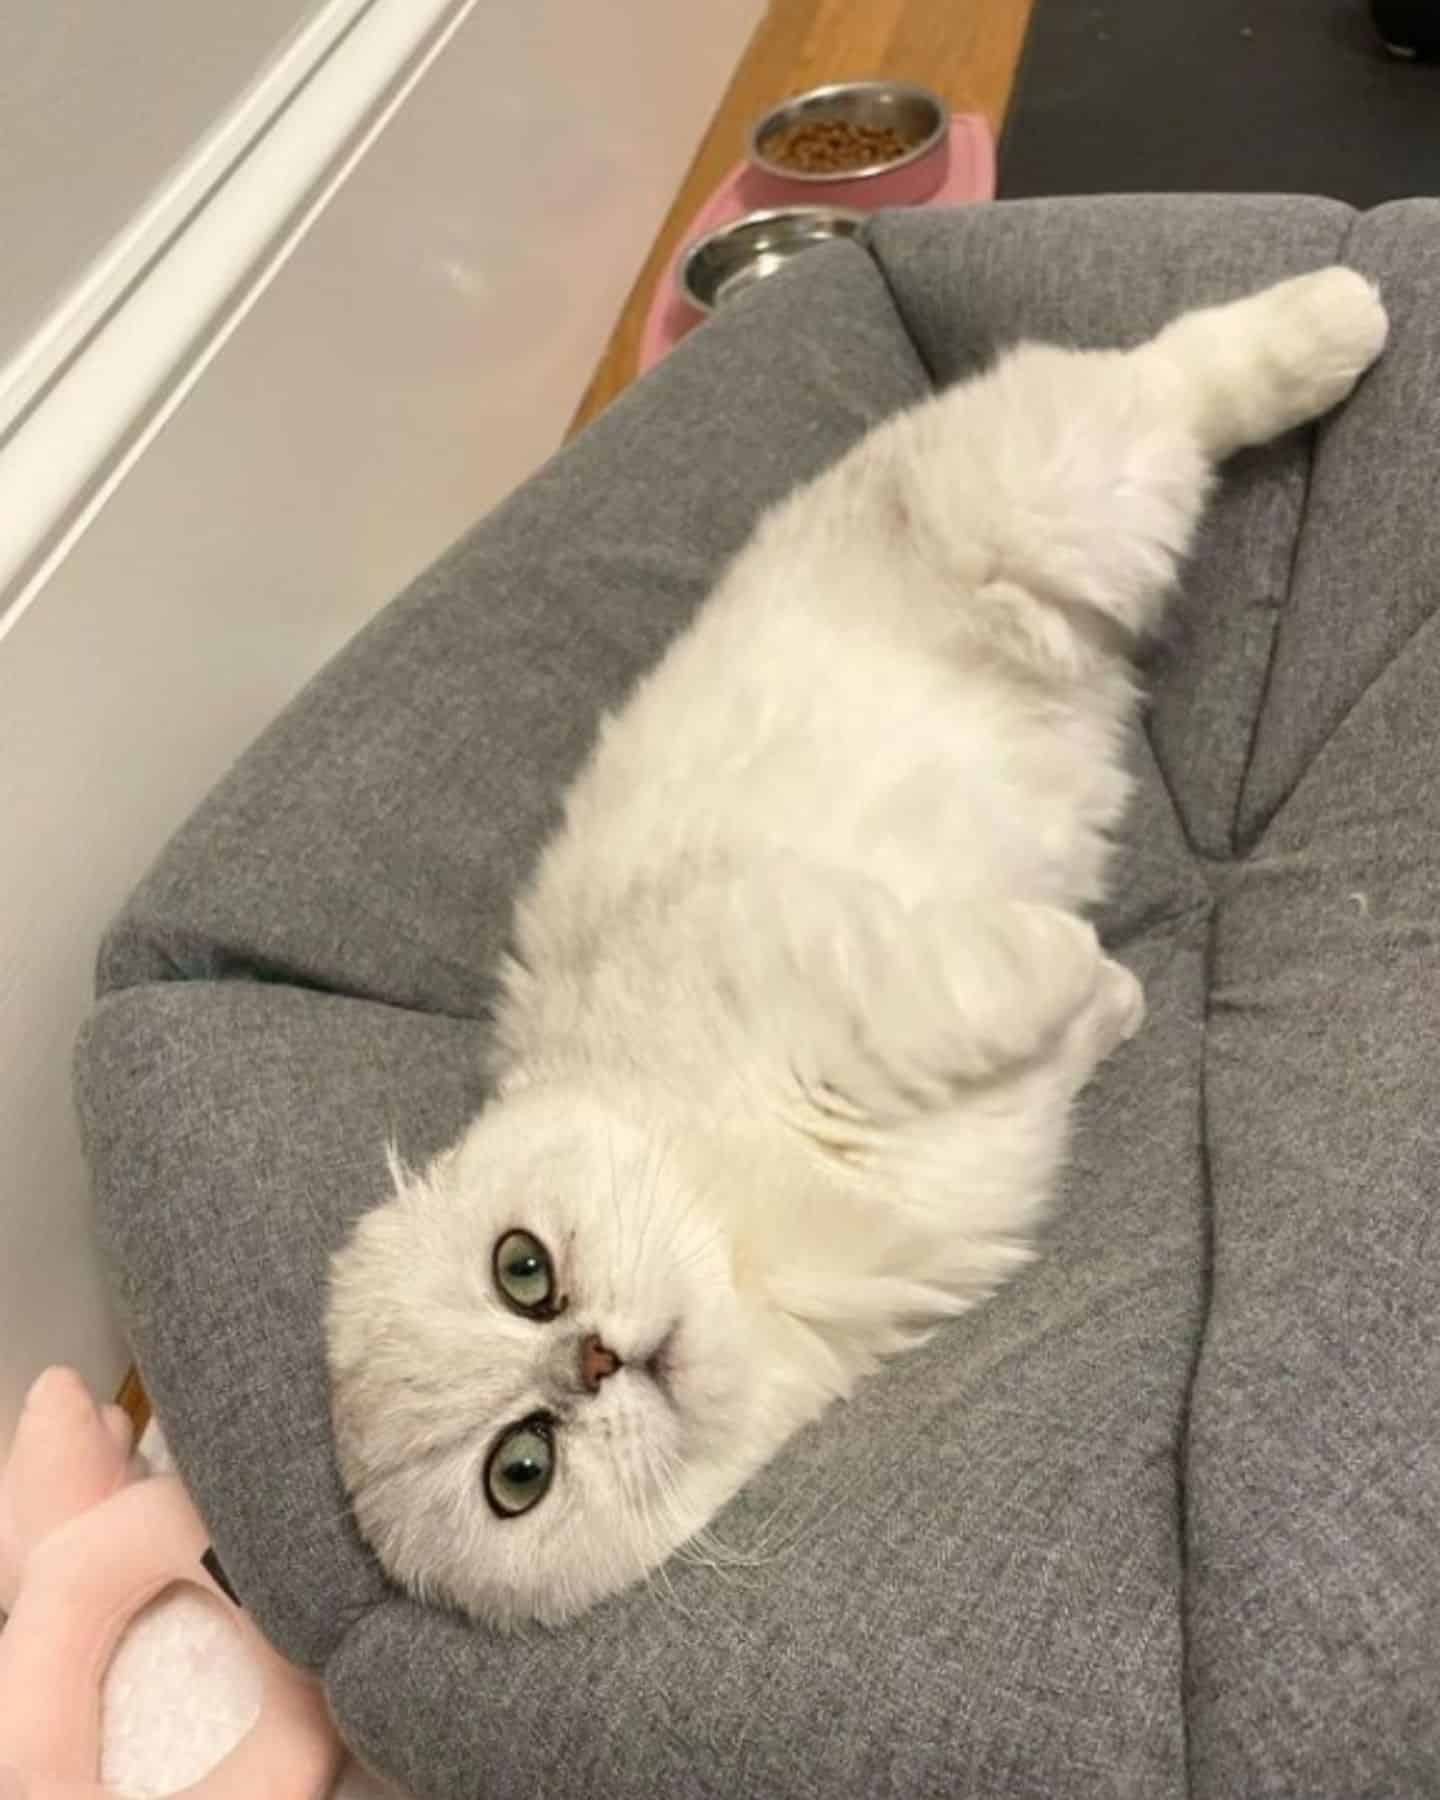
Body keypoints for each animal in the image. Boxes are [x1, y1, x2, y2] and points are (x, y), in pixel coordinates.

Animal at [324, 266, 1382, 1634]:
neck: (760, 1233)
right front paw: (1118, 993)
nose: (593, 1358)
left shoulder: (848, 971)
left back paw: (1343, 314)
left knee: (1183, 372)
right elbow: (1076, 1007)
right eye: (522, 1470)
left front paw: (1075, 954)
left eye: (525, 1271)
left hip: (1053, 487)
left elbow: (1005, 968)